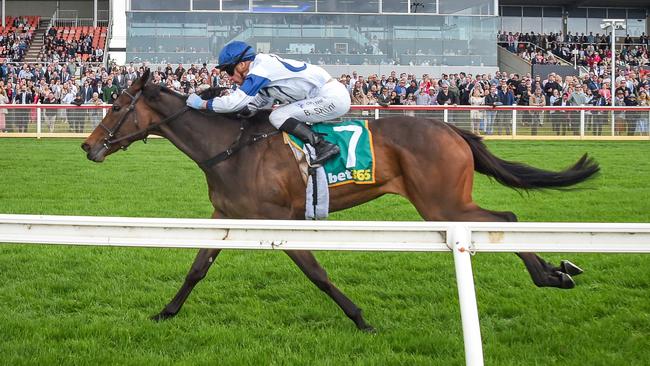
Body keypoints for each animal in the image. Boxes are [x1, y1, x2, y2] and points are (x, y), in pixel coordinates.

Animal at [81, 71, 596, 332]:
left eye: (117, 106)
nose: (88, 146)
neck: (231, 147)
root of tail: (451, 130)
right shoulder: (225, 216)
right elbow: (197, 267)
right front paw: (166, 312)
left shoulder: (280, 223)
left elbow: (317, 274)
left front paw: (360, 319)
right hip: (444, 202)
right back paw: (554, 271)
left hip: (441, 203)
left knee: (504, 216)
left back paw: (550, 274)